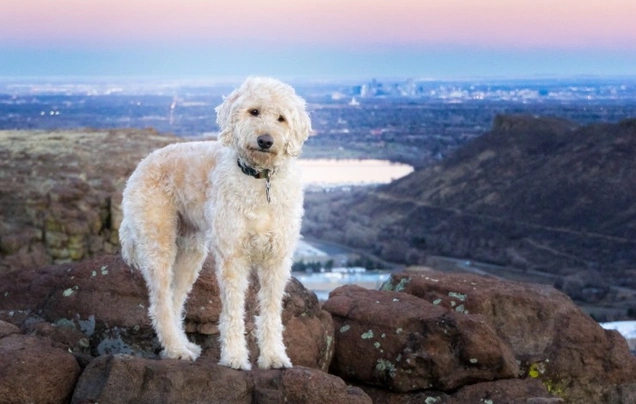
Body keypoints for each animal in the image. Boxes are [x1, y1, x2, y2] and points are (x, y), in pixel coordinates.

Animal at [119, 76, 310, 370]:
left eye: (281, 118)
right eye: (254, 111)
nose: (265, 140)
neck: (259, 180)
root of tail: (141, 165)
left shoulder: (276, 260)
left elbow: (271, 311)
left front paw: (274, 356)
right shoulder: (233, 257)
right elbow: (233, 311)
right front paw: (234, 357)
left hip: (191, 251)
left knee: (175, 300)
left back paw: (182, 344)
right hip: (158, 242)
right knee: (160, 303)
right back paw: (176, 350)